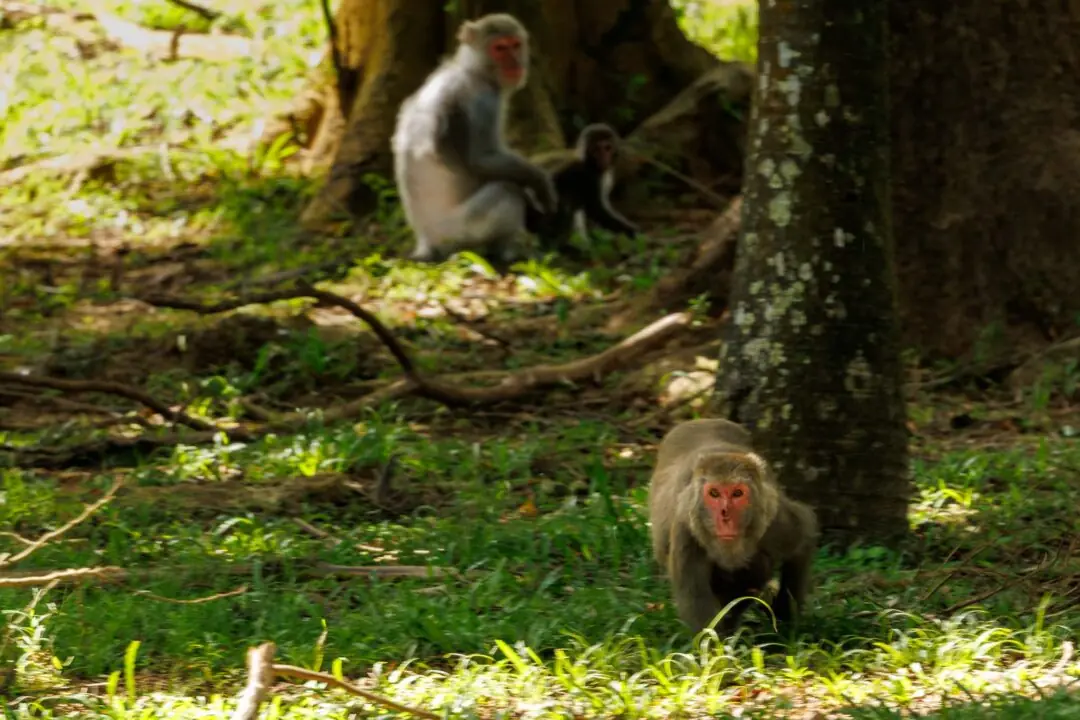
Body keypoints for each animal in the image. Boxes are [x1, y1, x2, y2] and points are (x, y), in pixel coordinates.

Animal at [391, 13, 558, 268]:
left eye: (515, 45)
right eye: (499, 48)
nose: (514, 64)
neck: (471, 69)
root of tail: (427, 242)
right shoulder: (484, 100)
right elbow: (481, 159)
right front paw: (540, 183)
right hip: (458, 233)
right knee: (506, 191)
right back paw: (510, 252)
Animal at [524, 123, 639, 258]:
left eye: (607, 148)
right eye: (596, 149)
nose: (603, 158)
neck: (589, 162)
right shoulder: (590, 177)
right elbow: (597, 210)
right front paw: (633, 232)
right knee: (563, 200)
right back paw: (554, 246)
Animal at [647, 418, 819, 635]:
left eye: (737, 493)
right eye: (714, 493)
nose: (725, 515)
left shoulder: (777, 525)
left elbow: (803, 538)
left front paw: (786, 619)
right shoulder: (686, 532)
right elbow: (696, 600)